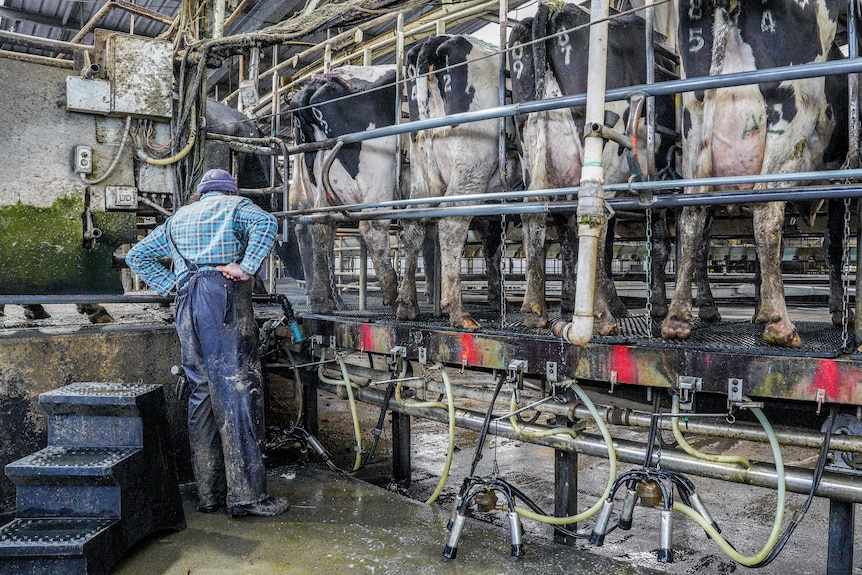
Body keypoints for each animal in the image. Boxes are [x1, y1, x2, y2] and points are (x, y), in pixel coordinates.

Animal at [396, 33, 506, 328]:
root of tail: (437, 40)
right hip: (472, 167)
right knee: (451, 223)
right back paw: (458, 310)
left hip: (422, 167)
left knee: (414, 223)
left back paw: (408, 305)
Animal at [664, 0, 848, 346]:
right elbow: (833, 243)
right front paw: (839, 311)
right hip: (789, 109)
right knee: (766, 213)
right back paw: (779, 325)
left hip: (694, 125)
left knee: (692, 220)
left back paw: (679, 318)